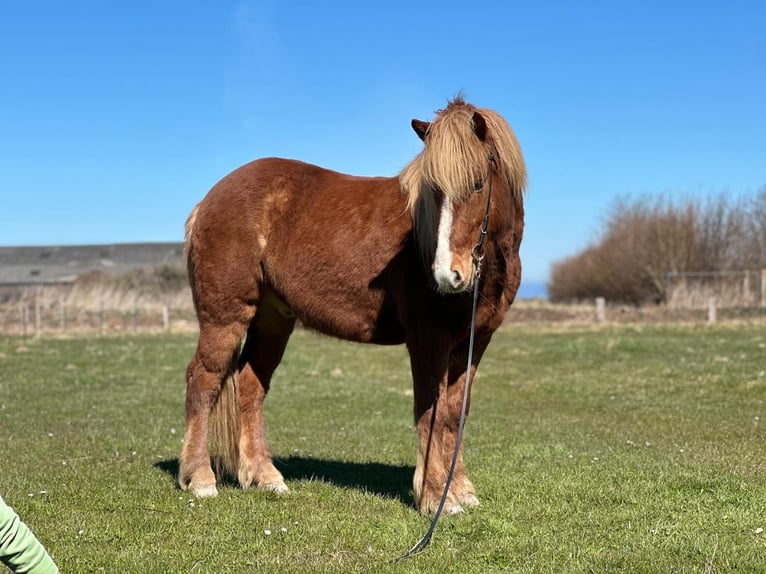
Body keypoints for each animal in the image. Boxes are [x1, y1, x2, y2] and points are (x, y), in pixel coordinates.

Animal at [178, 96, 526, 515]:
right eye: (432, 190)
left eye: (477, 184)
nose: (447, 275)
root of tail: (207, 202)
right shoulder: (429, 341)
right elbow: (432, 412)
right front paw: (433, 497)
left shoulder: (475, 342)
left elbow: (455, 414)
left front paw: (457, 490)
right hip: (226, 316)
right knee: (203, 381)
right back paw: (200, 478)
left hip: (273, 319)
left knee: (249, 386)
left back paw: (265, 477)